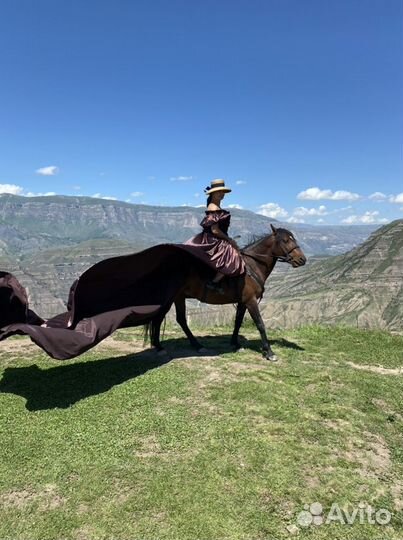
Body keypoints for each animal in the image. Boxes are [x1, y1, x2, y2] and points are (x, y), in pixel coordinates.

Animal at [148, 226, 306, 360]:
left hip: (179, 298)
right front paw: (269, 352)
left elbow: (238, 322)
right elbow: (260, 324)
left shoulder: (243, 302)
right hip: (171, 299)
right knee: (160, 319)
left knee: (179, 320)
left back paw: (196, 345)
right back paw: (160, 347)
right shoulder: (251, 301)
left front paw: (235, 344)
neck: (252, 266)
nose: (302, 260)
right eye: (285, 241)